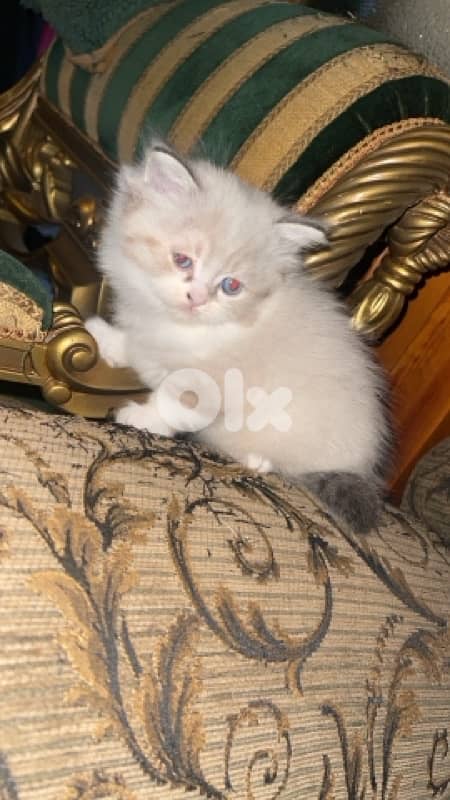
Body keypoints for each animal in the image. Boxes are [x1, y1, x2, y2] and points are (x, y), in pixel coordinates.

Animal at [86, 141, 390, 534]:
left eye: (230, 286)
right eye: (182, 260)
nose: (197, 299)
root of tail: (363, 467)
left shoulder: (213, 382)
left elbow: (175, 403)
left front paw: (140, 417)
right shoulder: (146, 333)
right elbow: (134, 346)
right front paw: (107, 339)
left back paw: (257, 459)